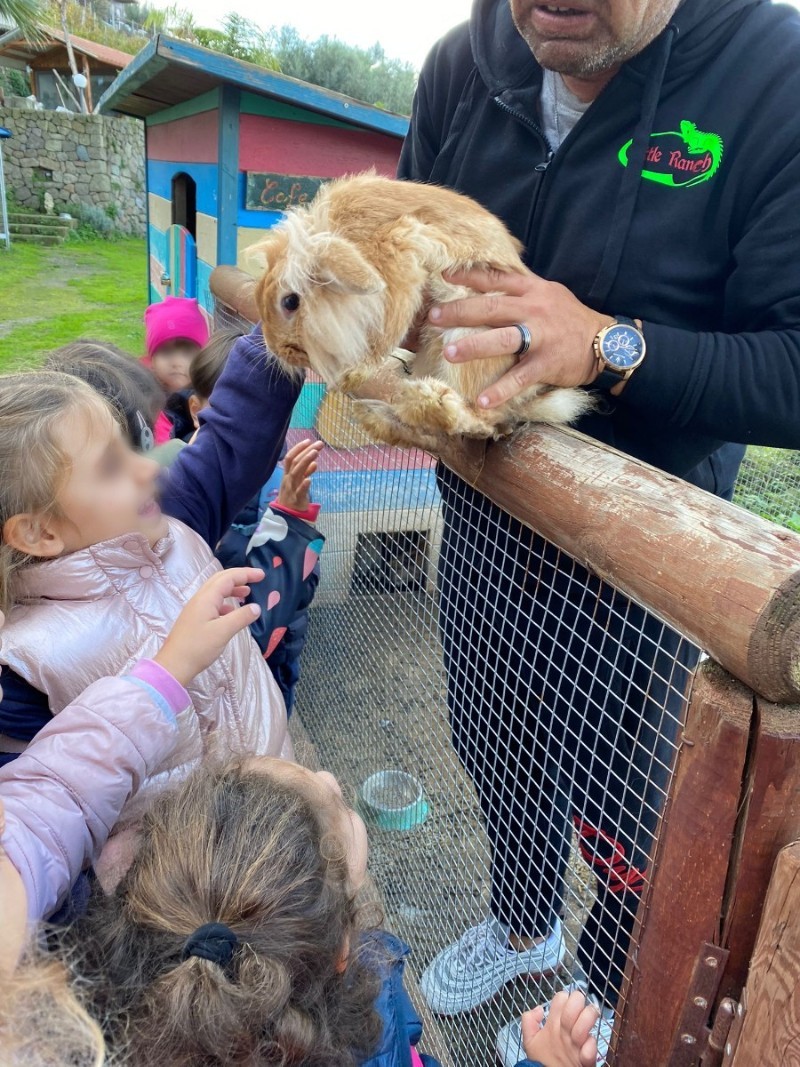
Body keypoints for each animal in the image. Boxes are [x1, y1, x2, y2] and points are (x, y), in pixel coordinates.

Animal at [254, 172, 590, 451]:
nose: (281, 350)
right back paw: (379, 413)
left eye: (290, 302)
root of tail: (527, 399)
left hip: (468, 342)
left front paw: (354, 374)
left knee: (483, 421)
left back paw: (429, 403)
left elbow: (390, 323)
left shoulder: (398, 250)